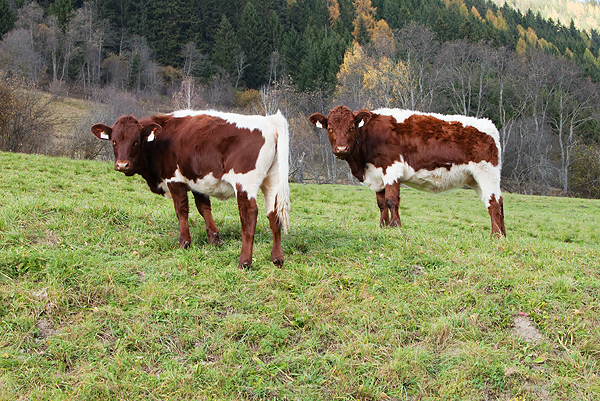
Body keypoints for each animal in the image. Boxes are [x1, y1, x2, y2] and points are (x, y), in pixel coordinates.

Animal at [91, 109, 291, 269]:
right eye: (114, 141)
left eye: (136, 141)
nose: (122, 164)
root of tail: (270, 120)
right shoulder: (197, 182)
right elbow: (204, 208)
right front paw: (214, 239)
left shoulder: (175, 180)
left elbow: (182, 210)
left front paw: (185, 242)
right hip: (272, 181)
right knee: (274, 216)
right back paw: (277, 259)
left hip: (245, 183)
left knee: (249, 215)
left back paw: (245, 262)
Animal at [309, 106, 506, 237]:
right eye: (330, 128)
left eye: (351, 127)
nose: (341, 149)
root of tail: (489, 125)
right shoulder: (377, 175)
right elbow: (381, 203)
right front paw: (383, 227)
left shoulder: (391, 168)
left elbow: (391, 200)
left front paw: (396, 227)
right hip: (475, 179)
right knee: (497, 201)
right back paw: (503, 236)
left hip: (486, 173)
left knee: (493, 203)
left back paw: (495, 236)